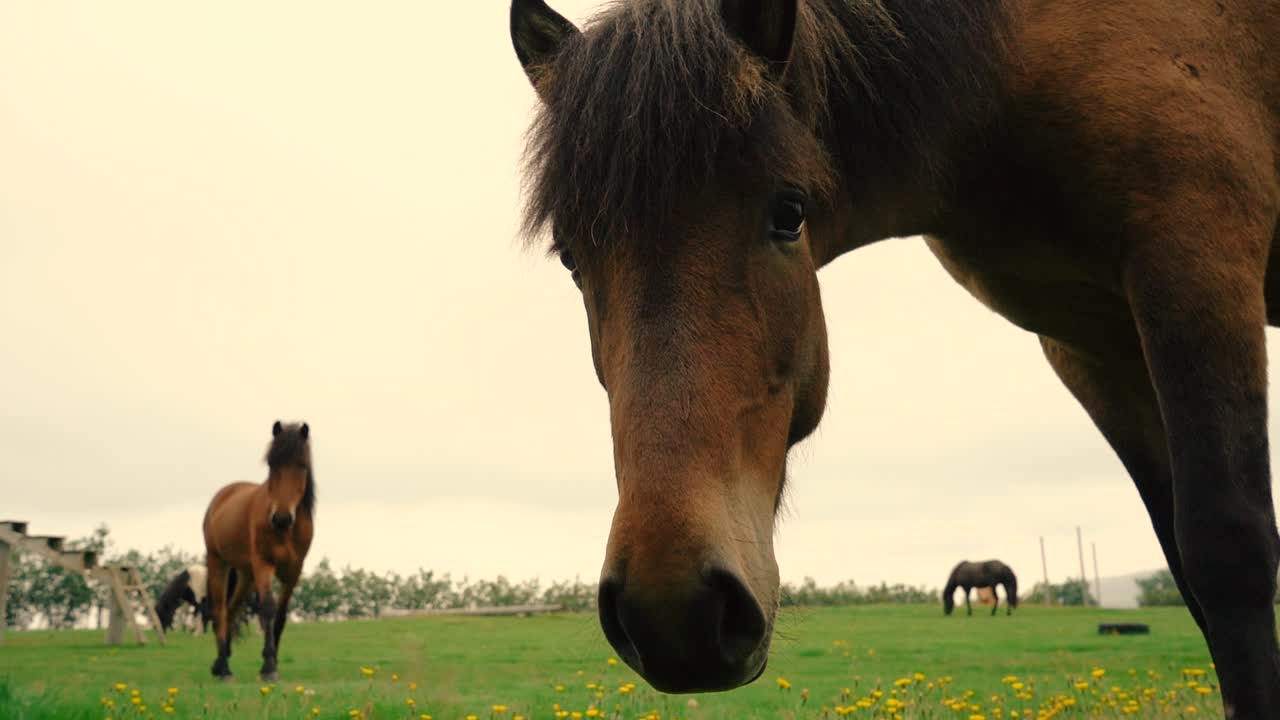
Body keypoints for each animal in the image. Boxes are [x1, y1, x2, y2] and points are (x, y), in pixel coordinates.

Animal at [203, 421, 315, 681]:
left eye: (302, 465)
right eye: (272, 464)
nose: (281, 518)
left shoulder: (294, 570)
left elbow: (281, 615)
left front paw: (273, 664)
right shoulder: (264, 564)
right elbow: (267, 609)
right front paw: (269, 667)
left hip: (246, 574)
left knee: (232, 610)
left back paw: (220, 663)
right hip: (218, 562)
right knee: (221, 611)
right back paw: (224, 669)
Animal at [507, 0, 1280, 714]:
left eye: (790, 214)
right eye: (571, 256)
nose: (673, 611)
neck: (1014, 61)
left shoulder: (1198, 256)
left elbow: (1228, 550)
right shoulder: (1090, 340)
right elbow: (1183, 564)